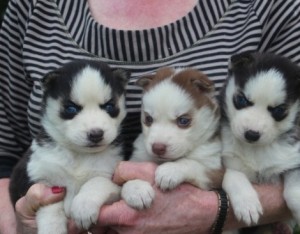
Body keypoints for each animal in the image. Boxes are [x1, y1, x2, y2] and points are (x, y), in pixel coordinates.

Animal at [9, 59, 129, 233]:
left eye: (109, 106)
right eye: (71, 108)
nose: (96, 134)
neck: (78, 154)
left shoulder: (112, 174)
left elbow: (97, 182)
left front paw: (83, 207)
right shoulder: (35, 179)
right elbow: (51, 206)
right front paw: (52, 228)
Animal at [120, 66, 221, 209]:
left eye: (183, 120)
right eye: (148, 119)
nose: (157, 148)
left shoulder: (216, 171)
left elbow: (191, 163)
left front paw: (170, 170)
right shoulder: (137, 159)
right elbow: (126, 178)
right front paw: (136, 188)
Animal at [220, 51, 300, 227]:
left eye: (279, 110)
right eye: (241, 100)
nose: (251, 134)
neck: (255, 151)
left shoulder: (294, 160)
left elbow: (294, 189)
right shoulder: (224, 162)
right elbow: (234, 175)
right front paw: (247, 204)